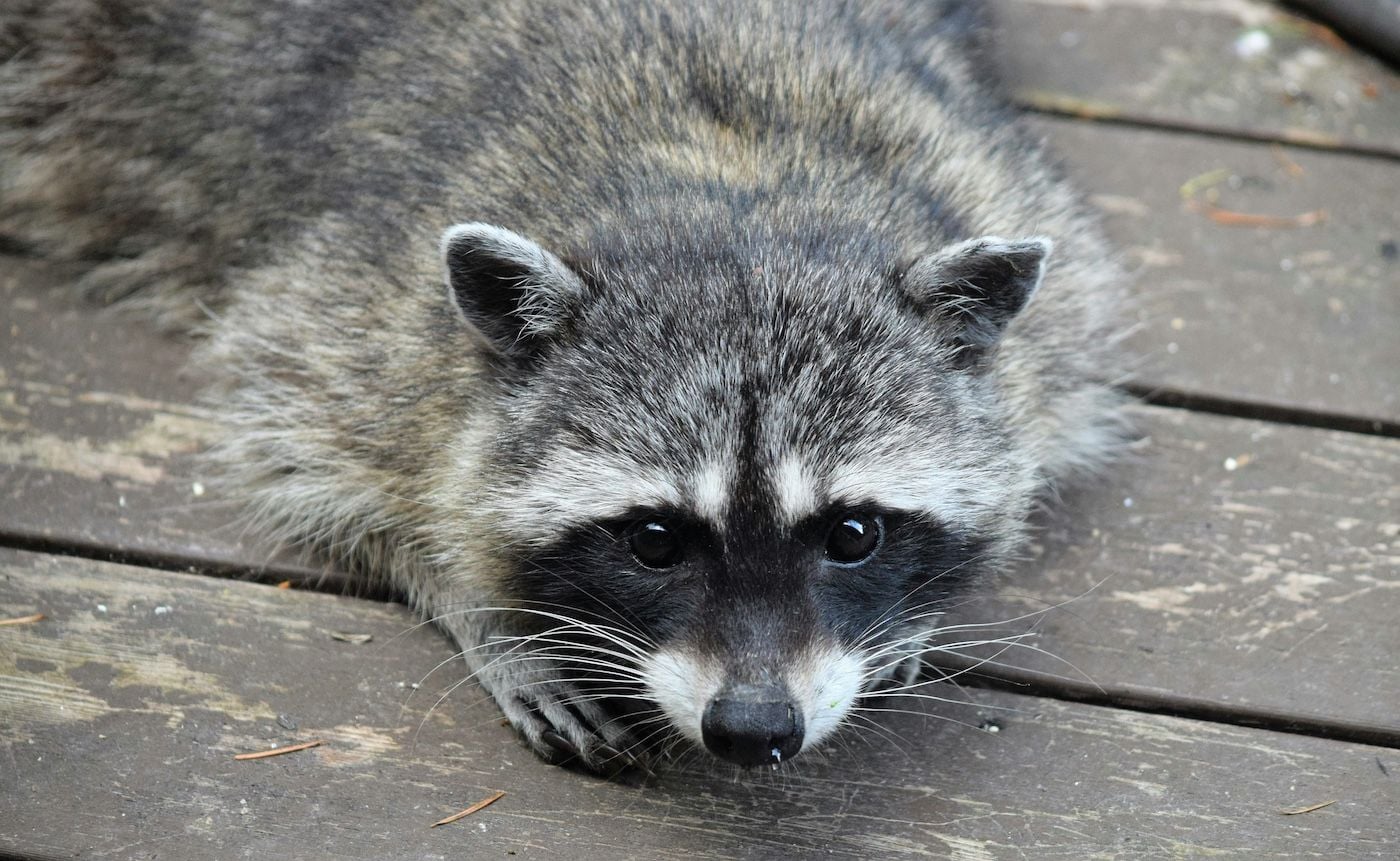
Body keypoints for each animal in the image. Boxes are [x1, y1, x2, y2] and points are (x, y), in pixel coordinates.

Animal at [1, 0, 1127, 772]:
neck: (730, 193)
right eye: (654, 540)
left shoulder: (1022, 232)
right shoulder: (358, 310)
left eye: (852, 533)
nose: (753, 728)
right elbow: (304, 445)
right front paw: (479, 602)